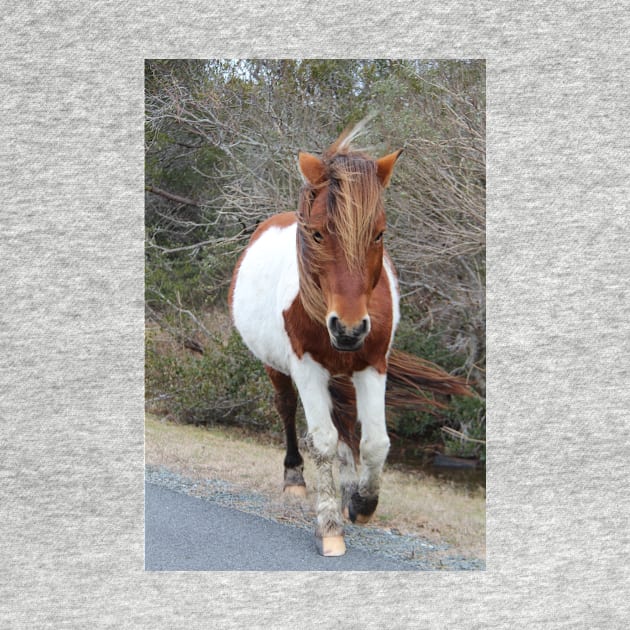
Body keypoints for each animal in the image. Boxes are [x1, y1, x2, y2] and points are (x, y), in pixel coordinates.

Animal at [230, 124, 472, 556]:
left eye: (379, 234)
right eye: (317, 234)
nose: (348, 329)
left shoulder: (372, 366)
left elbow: (375, 442)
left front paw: (361, 502)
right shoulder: (306, 367)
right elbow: (323, 441)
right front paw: (329, 528)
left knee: (345, 428)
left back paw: (346, 489)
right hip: (277, 368)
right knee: (287, 408)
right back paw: (295, 480)